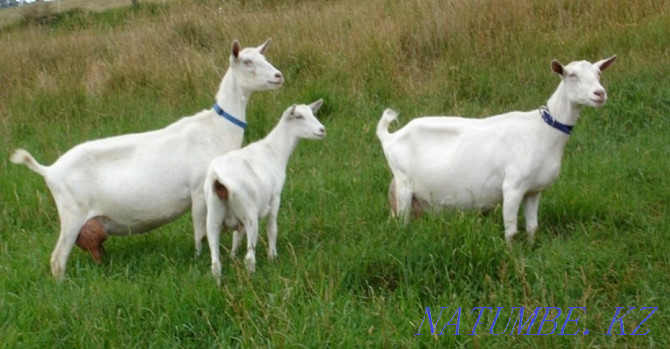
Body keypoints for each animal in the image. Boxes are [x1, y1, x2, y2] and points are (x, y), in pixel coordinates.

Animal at [10, 38, 284, 278]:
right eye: (247, 61)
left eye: (264, 57)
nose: (278, 76)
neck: (217, 127)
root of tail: (49, 170)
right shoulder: (198, 191)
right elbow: (200, 233)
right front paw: (198, 258)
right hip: (71, 214)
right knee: (57, 259)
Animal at [206, 99, 326, 284]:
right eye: (299, 116)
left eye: (313, 113)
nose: (322, 130)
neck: (275, 150)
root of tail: (218, 178)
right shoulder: (275, 197)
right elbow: (272, 228)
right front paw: (272, 257)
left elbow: (236, 237)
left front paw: (233, 256)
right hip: (249, 212)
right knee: (249, 258)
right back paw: (251, 280)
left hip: (213, 214)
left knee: (215, 263)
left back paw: (219, 285)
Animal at [378, 55, 620, 243]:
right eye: (572, 75)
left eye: (598, 73)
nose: (600, 93)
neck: (542, 131)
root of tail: (389, 137)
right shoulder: (512, 186)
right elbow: (511, 233)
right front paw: (514, 258)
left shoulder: (533, 190)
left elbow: (533, 228)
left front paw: (531, 250)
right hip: (403, 184)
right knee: (402, 223)